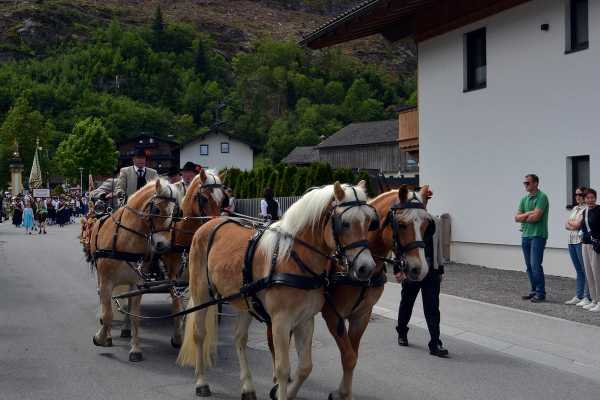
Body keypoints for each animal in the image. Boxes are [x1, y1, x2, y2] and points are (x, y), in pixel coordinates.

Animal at [88, 178, 183, 362]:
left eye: (175, 213)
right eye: (156, 209)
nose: (163, 245)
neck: (126, 240)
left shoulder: (137, 284)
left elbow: (134, 316)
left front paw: (135, 349)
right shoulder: (106, 282)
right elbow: (107, 314)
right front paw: (101, 338)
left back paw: (125, 330)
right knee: (104, 303)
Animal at [176, 182, 378, 400]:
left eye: (369, 222)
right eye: (345, 224)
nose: (366, 267)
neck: (294, 258)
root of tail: (208, 224)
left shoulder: (305, 320)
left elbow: (305, 367)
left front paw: (288, 393)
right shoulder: (281, 322)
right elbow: (283, 369)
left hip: (245, 300)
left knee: (240, 338)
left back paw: (248, 387)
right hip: (201, 293)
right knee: (199, 334)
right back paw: (201, 382)